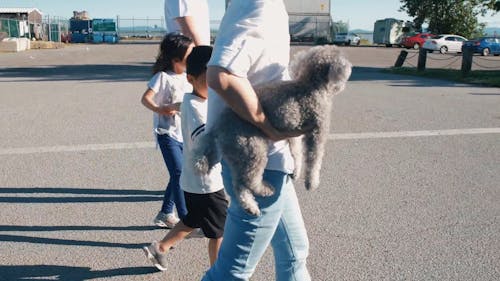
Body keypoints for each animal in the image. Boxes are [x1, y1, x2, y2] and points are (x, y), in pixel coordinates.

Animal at [191, 44, 352, 214]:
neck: (311, 84)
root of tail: (217, 128)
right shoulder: (317, 129)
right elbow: (314, 158)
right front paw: (311, 182)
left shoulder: (294, 133)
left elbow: (297, 153)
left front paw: (296, 172)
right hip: (252, 147)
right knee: (250, 180)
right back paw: (265, 190)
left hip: (237, 153)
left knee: (239, 184)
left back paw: (250, 206)